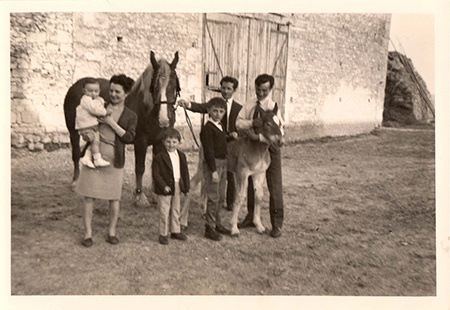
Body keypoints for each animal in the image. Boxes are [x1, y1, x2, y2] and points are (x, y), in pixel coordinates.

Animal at [64, 50, 180, 207]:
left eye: (174, 85)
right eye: (155, 86)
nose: (164, 119)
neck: (146, 109)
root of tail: (75, 86)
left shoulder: (159, 142)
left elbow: (156, 165)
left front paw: (156, 195)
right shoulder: (140, 142)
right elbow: (140, 167)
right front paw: (140, 197)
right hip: (73, 132)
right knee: (76, 153)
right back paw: (75, 182)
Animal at [227, 105, 284, 236]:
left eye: (280, 123)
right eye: (268, 123)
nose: (281, 141)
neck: (258, 150)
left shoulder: (259, 174)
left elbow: (258, 196)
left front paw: (259, 225)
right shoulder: (242, 173)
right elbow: (240, 196)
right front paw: (234, 228)